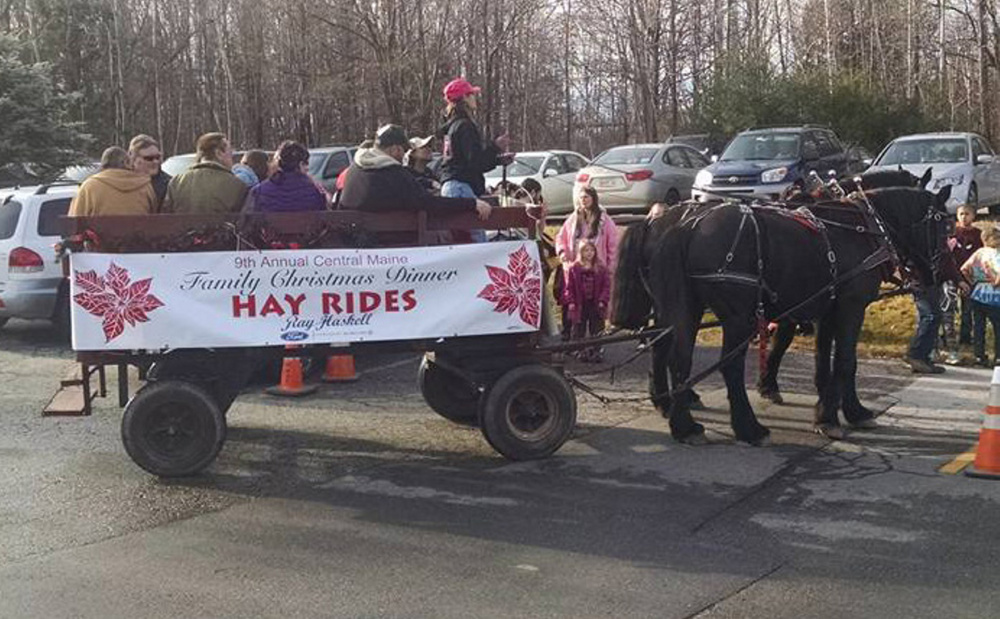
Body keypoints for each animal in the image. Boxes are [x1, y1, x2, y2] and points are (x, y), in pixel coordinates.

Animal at [616, 184, 952, 446]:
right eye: (944, 226)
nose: (943, 275)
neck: (864, 228)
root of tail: (681, 227)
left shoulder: (826, 310)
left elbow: (825, 361)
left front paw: (841, 409)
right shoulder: (851, 306)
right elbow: (846, 361)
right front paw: (834, 417)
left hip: (683, 306)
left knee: (674, 356)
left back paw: (680, 420)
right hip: (737, 316)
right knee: (729, 366)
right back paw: (748, 428)